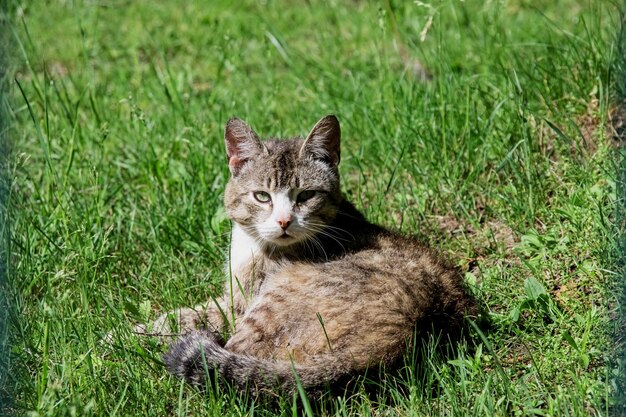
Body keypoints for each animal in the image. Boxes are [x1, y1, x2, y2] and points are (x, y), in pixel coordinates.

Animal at [155, 115, 472, 394]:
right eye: (262, 196)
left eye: (306, 195)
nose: (284, 221)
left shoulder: (241, 303)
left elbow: (205, 313)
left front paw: (156, 325)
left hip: (276, 298)